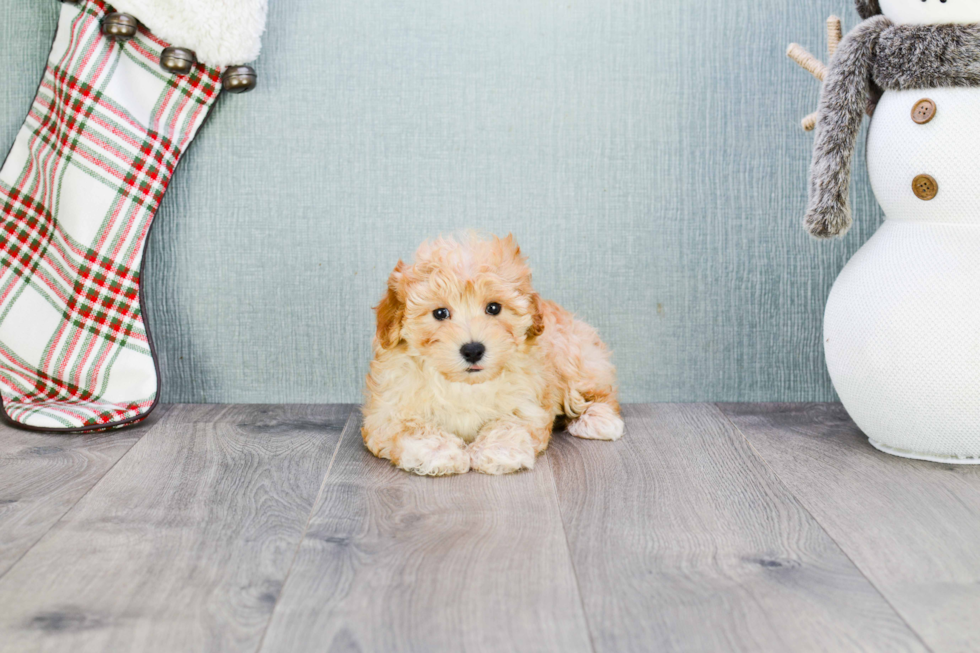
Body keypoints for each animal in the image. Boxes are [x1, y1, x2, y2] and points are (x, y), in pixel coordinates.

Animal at [364, 234, 624, 474]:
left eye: (493, 308)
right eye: (440, 313)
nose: (473, 350)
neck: (465, 385)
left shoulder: (528, 403)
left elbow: (510, 423)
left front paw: (498, 451)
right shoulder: (386, 412)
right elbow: (412, 428)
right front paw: (441, 451)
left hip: (575, 354)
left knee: (595, 391)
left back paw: (599, 419)